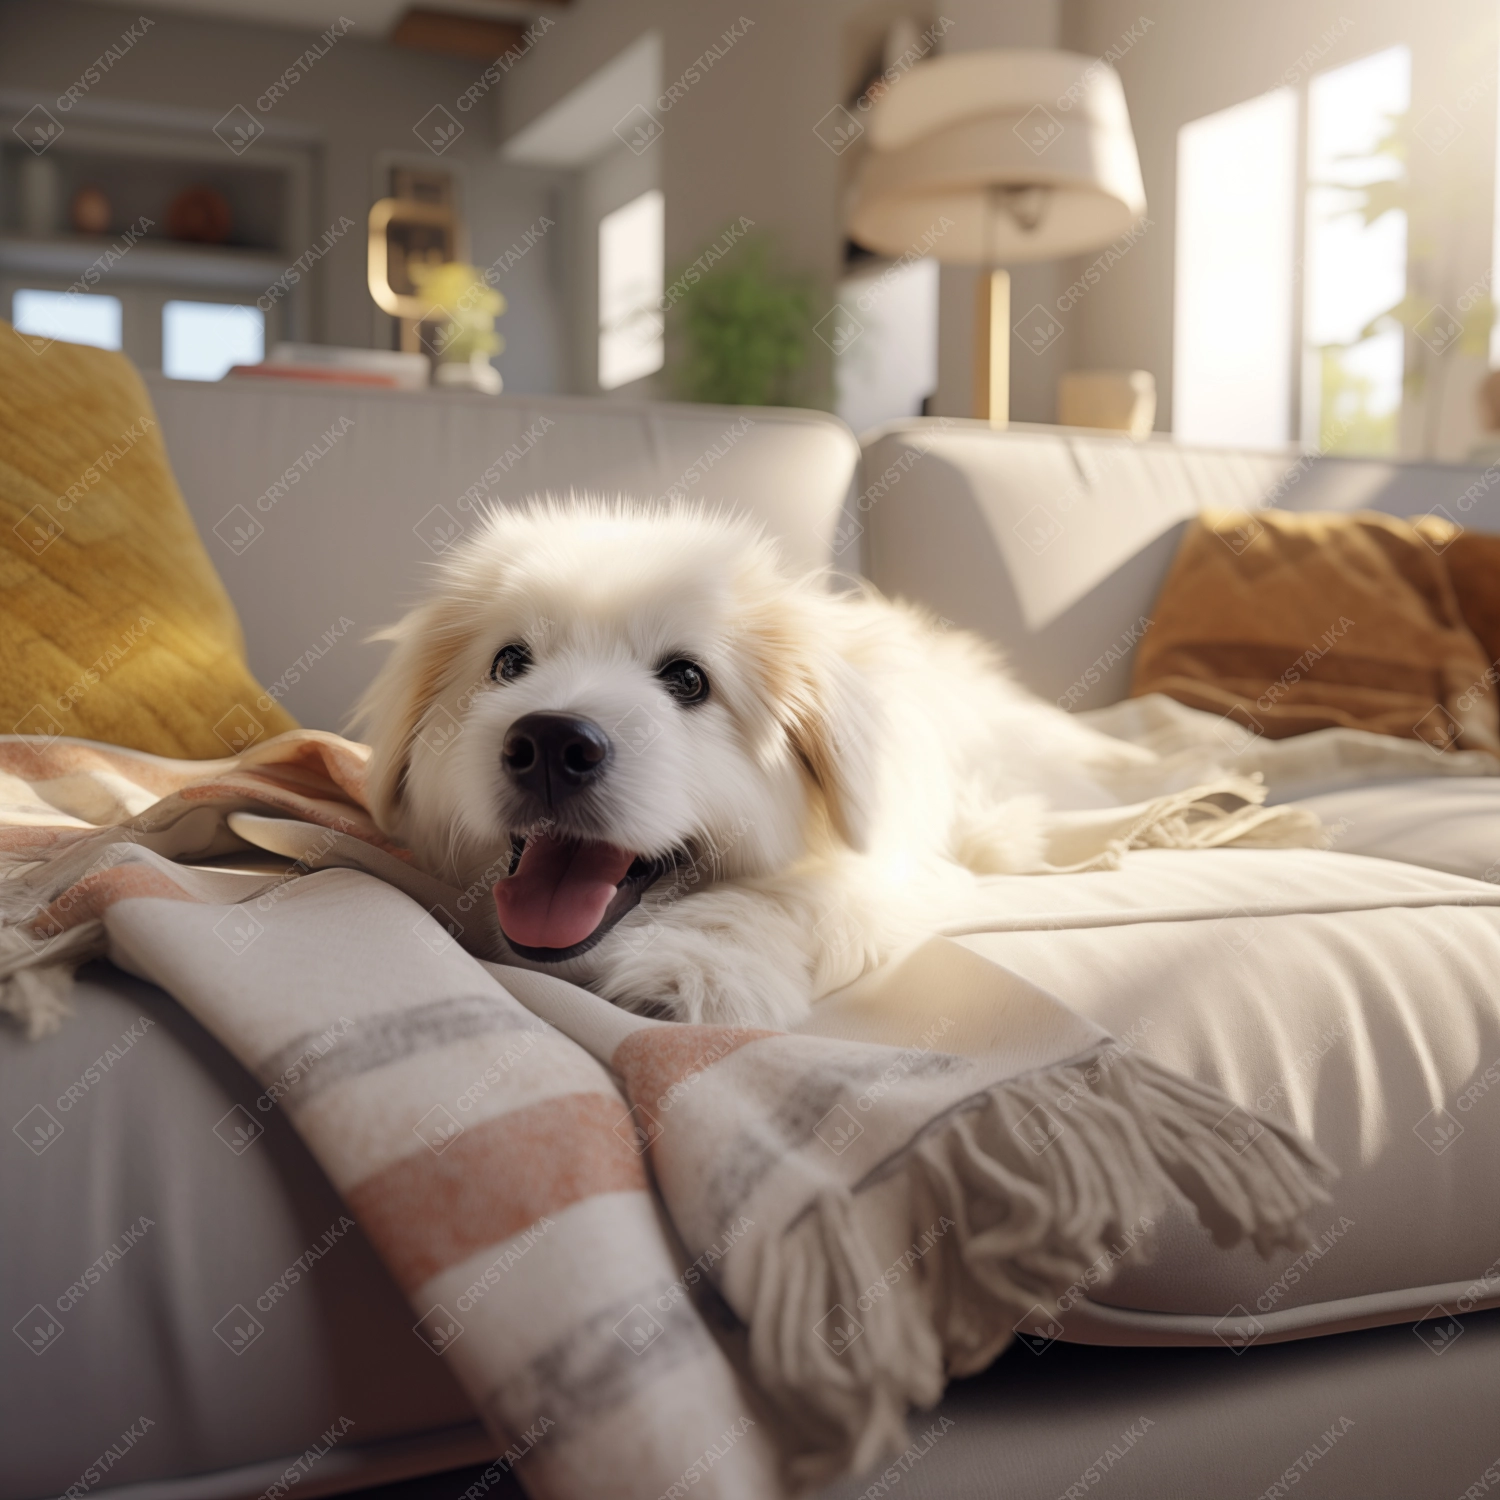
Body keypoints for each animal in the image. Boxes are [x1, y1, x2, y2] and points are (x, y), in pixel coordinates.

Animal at [357, 504, 1128, 1032]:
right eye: (509, 663)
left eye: (688, 680)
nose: (550, 742)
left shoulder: (894, 866)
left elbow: (790, 895)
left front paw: (694, 968)